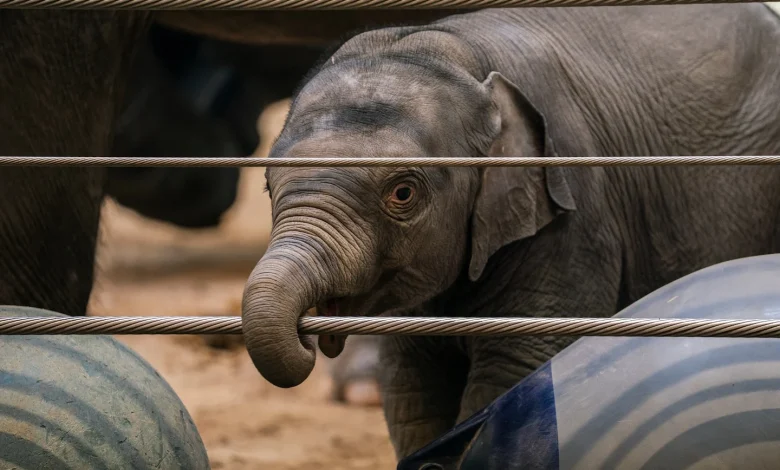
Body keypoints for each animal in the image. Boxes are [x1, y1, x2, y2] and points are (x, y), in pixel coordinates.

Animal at [237, 4, 780, 459]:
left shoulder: (573, 219)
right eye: (266, 186)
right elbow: (413, 391)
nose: (312, 337)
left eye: (403, 193)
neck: (455, 50)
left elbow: (511, 373)